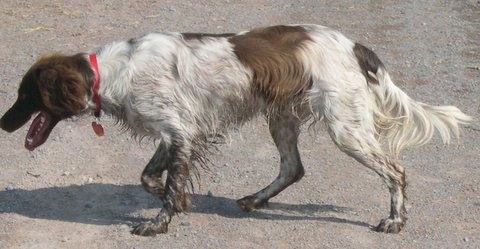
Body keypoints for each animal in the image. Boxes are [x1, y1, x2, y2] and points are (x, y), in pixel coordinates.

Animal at [0, 24, 472, 235]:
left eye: (25, 95)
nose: (3, 123)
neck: (113, 72)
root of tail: (353, 45)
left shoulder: (179, 132)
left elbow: (166, 184)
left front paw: (159, 223)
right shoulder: (179, 132)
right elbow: (152, 177)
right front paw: (180, 202)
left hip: (346, 129)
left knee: (396, 171)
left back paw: (394, 220)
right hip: (281, 118)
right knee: (293, 168)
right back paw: (254, 200)